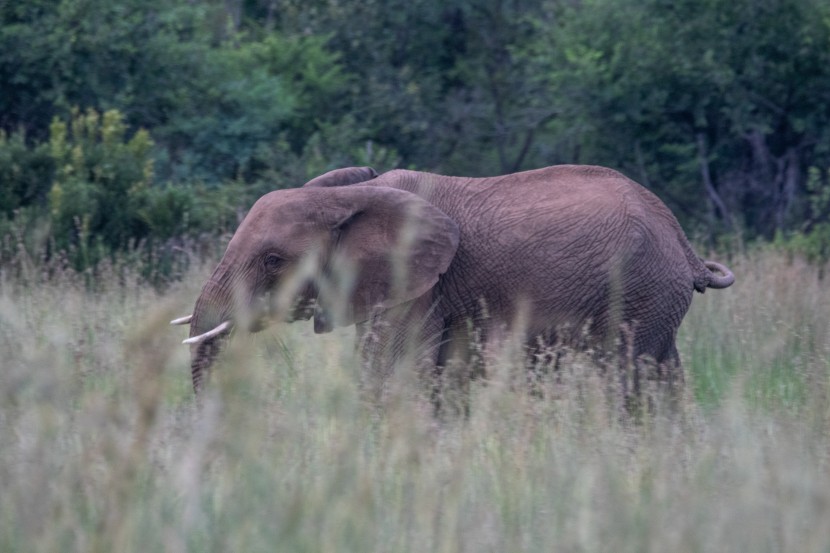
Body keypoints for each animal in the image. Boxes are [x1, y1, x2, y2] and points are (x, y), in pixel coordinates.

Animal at [174, 164, 736, 402]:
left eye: (273, 260)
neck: (350, 196)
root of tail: (683, 243)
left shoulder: (419, 285)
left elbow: (392, 371)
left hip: (638, 293)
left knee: (624, 377)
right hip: (655, 298)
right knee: (663, 378)